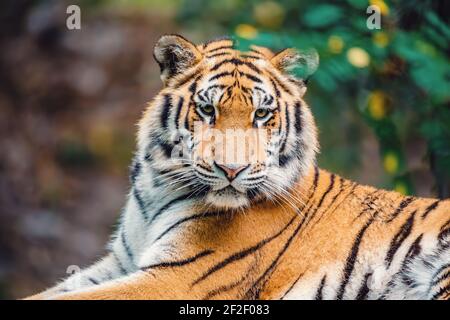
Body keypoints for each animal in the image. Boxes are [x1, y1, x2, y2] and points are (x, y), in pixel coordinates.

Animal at [28, 36, 450, 302]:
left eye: (261, 114)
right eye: (207, 109)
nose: (231, 169)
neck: (158, 187)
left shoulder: (177, 276)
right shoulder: (120, 262)